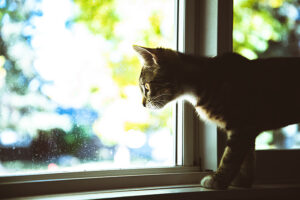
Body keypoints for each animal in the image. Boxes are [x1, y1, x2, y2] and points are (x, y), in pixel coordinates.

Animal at [134, 45, 300, 189]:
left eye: (146, 88)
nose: (142, 104)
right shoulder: (248, 127)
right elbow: (247, 156)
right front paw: (242, 181)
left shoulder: (241, 125)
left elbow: (231, 157)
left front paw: (219, 181)